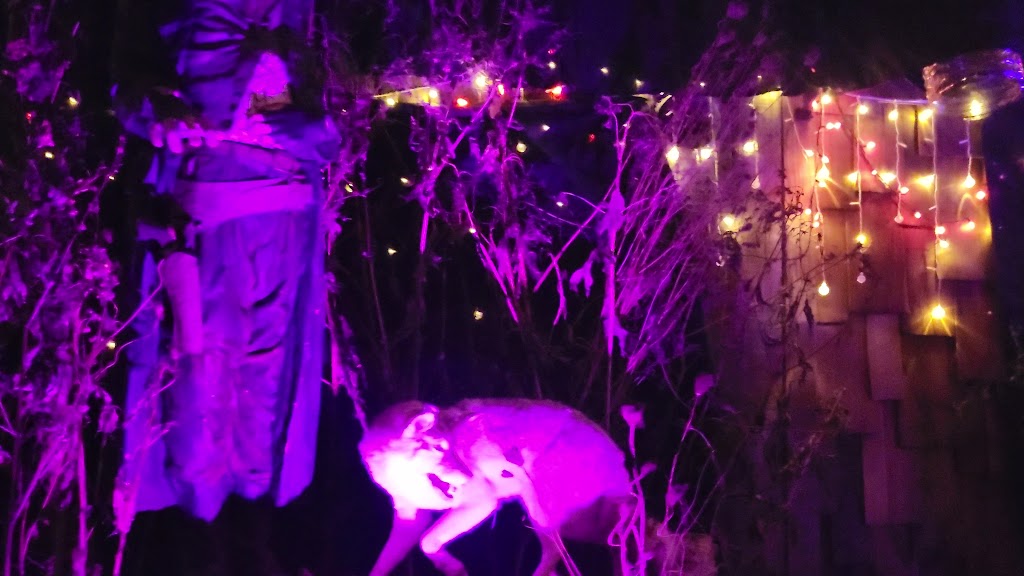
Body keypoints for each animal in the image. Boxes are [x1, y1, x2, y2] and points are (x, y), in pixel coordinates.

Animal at [358, 398, 636, 576]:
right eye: (439, 448)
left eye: (452, 448)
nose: (468, 475)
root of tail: (619, 460)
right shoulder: (408, 518)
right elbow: (384, 563)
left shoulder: (483, 502)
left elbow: (427, 542)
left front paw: (452, 567)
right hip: (565, 523)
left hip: (542, 511)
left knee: (557, 553)